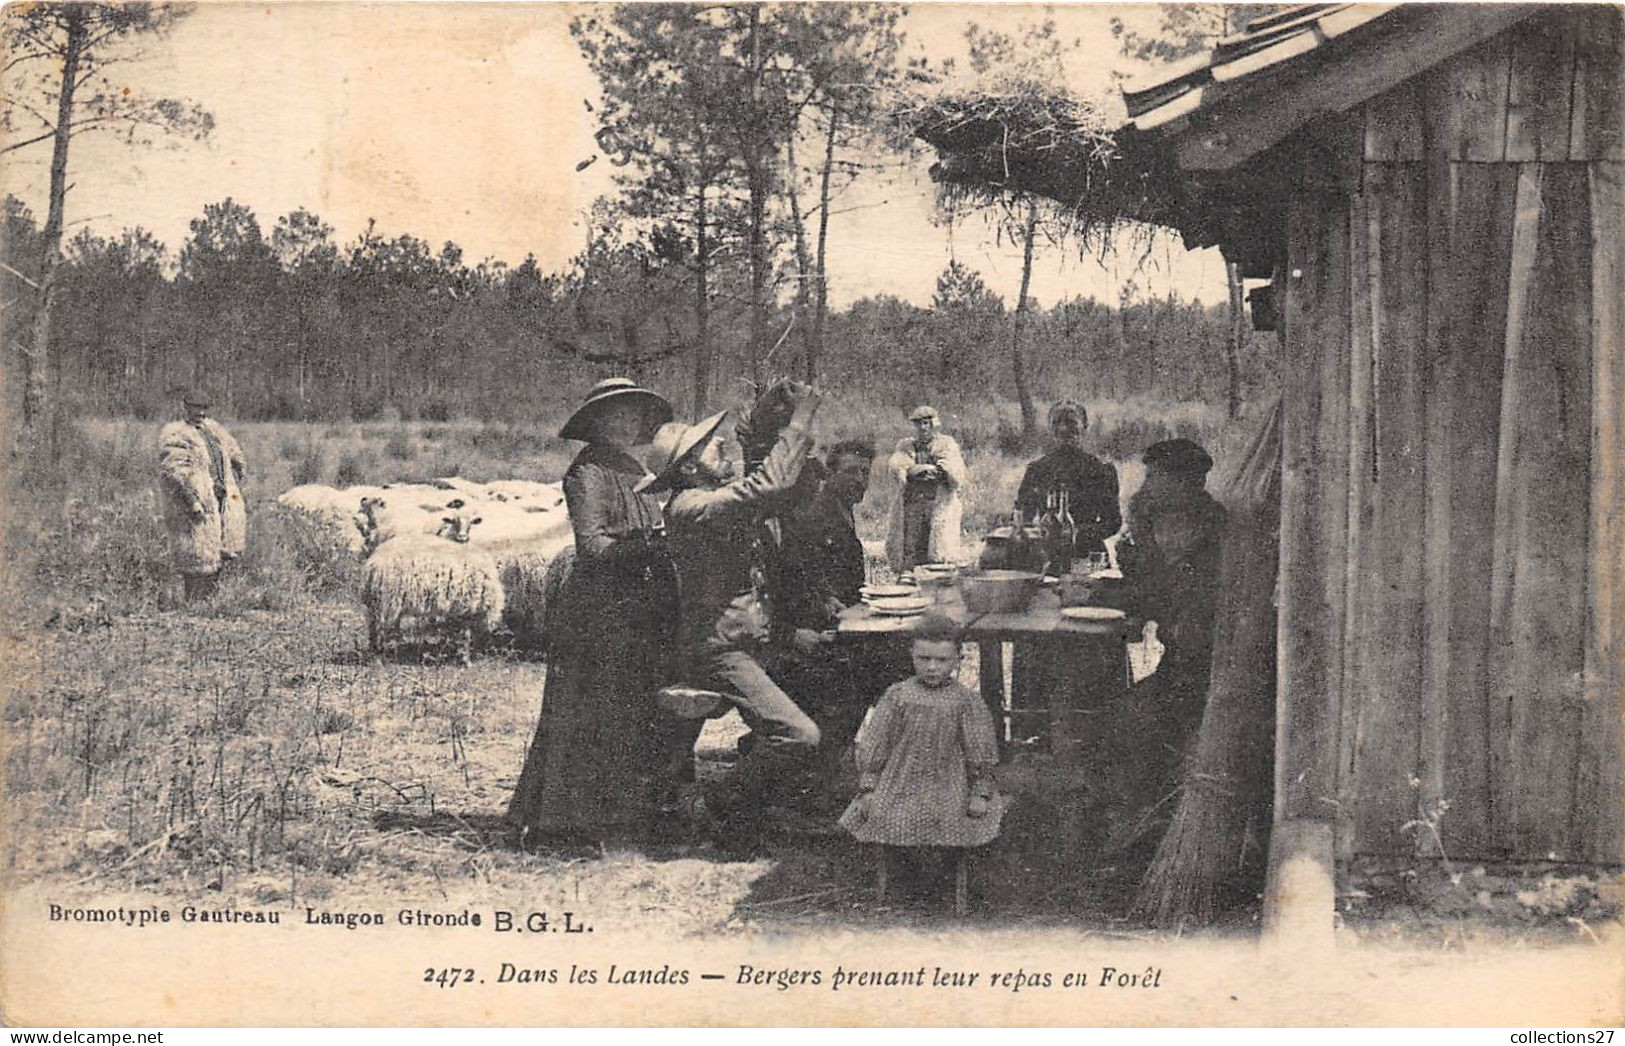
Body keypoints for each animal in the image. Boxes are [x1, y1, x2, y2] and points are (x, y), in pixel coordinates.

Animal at [360, 510, 500, 665]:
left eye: (471, 523)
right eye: (454, 522)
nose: (462, 537)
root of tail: (374, 562)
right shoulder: (465, 606)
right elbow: (465, 634)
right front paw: (465, 659)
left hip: (376, 600)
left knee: (373, 625)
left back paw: (378, 651)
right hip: (388, 599)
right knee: (381, 627)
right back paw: (381, 657)